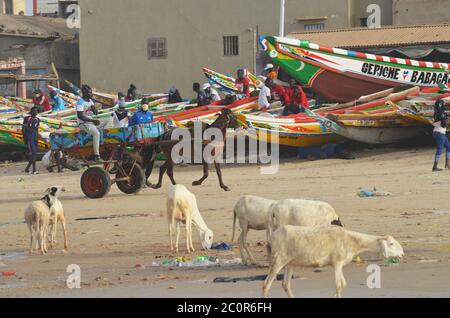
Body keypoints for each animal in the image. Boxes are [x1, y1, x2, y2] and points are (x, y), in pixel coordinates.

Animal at [262, 226, 406, 298]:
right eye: (391, 244)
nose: (402, 254)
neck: (353, 241)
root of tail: (271, 237)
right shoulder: (337, 262)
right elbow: (338, 285)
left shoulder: (340, 264)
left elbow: (343, 285)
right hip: (278, 259)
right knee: (266, 285)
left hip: (290, 262)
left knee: (286, 285)